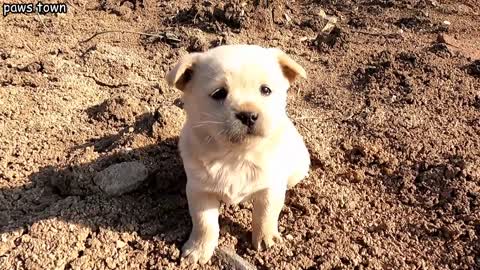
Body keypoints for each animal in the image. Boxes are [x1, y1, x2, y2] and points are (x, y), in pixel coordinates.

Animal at [166, 43, 312, 264]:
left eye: (265, 90)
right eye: (219, 93)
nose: (248, 115)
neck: (236, 156)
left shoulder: (271, 187)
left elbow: (266, 213)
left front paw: (266, 239)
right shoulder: (199, 190)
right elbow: (204, 222)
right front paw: (197, 250)